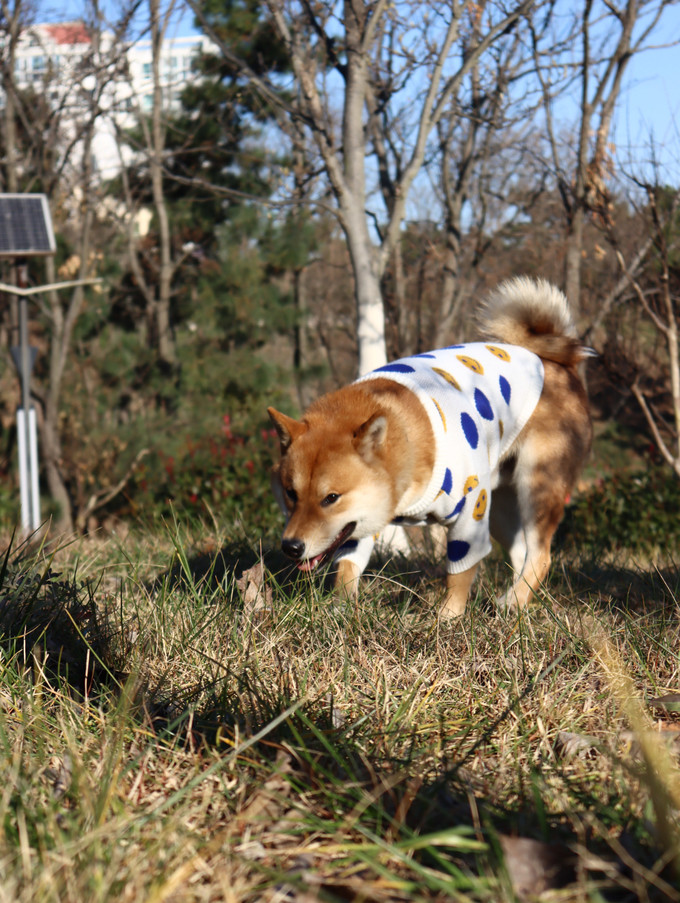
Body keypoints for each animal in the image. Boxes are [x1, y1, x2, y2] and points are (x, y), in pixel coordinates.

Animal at [266, 278, 588, 616]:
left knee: (541, 556)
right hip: (500, 505)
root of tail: (549, 361)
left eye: (331, 498)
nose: (290, 547)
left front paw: (448, 617)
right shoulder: (362, 522)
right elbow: (347, 566)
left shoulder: (469, 517)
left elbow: (460, 573)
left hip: (536, 486)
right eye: (291, 493)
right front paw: (341, 607)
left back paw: (513, 602)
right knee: (521, 552)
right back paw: (511, 602)